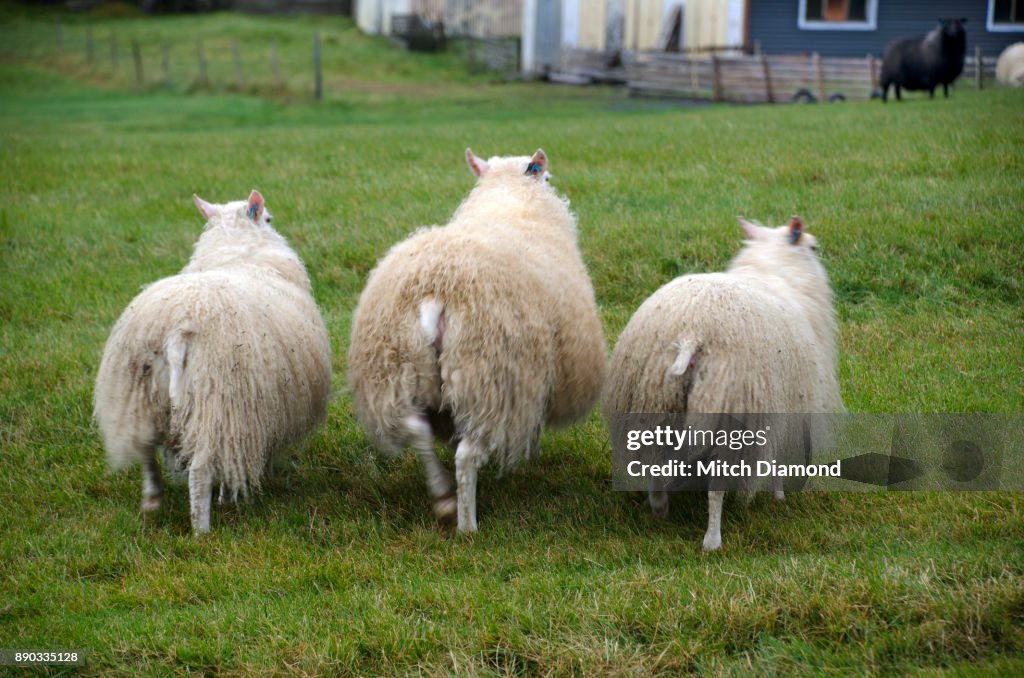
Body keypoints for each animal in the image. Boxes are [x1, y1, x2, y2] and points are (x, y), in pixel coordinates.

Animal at [93, 190, 332, 534]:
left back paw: (152, 501)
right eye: (269, 219)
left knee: (146, 453)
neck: (237, 254)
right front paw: (240, 489)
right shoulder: (256, 414)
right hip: (218, 406)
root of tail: (176, 332)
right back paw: (201, 530)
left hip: (138, 400)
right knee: (199, 472)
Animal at [347, 148, 606, 533]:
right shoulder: (531, 379)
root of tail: (434, 293)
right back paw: (467, 525)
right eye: (545, 176)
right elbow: (534, 425)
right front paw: (530, 457)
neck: (509, 199)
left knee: (416, 429)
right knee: (466, 456)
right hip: (488, 378)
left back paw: (443, 498)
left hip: (395, 370)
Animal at [603, 216, 842, 551]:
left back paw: (660, 510)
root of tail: (691, 334)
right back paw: (712, 540)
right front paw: (779, 495)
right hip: (728, 416)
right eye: (814, 247)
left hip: (654, 406)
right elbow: (778, 457)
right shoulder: (786, 404)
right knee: (715, 488)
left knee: (655, 468)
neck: (773, 270)